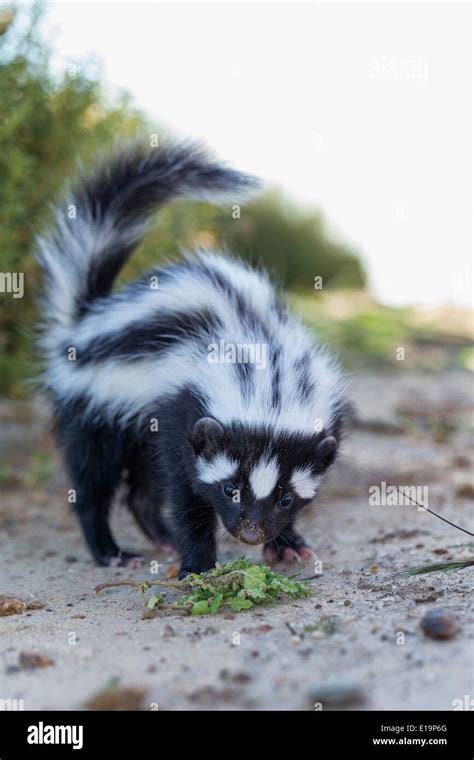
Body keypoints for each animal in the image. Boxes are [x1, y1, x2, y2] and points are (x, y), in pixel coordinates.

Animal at [37, 140, 346, 576]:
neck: (267, 364)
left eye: (286, 497)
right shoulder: (181, 407)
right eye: (230, 488)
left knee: (142, 489)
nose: (250, 532)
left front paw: (288, 543)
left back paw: (162, 536)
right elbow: (186, 491)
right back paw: (110, 550)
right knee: (94, 480)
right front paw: (199, 565)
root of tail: (86, 322)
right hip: (96, 406)